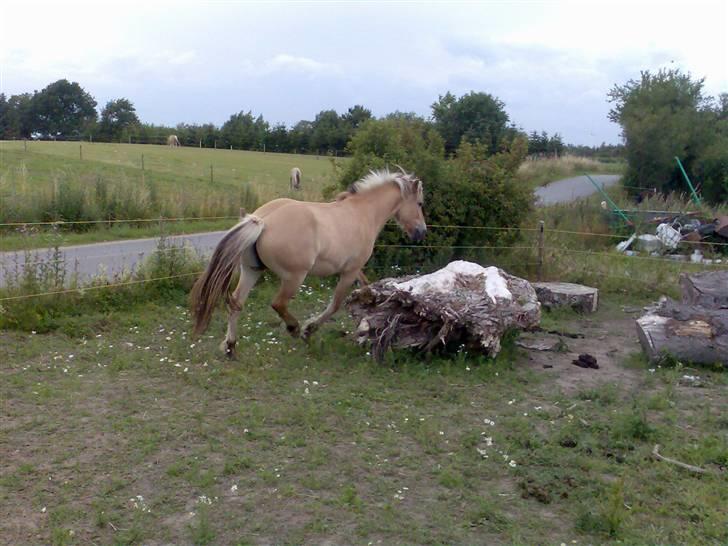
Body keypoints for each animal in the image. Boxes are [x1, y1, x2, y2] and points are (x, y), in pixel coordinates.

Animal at [191, 168, 426, 354]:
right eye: (420, 203)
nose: (421, 232)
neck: (362, 213)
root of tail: (262, 221)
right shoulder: (348, 271)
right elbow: (335, 304)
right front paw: (308, 330)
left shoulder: (355, 268)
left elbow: (366, 287)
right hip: (294, 277)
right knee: (278, 303)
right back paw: (294, 329)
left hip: (251, 270)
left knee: (236, 301)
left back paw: (230, 346)